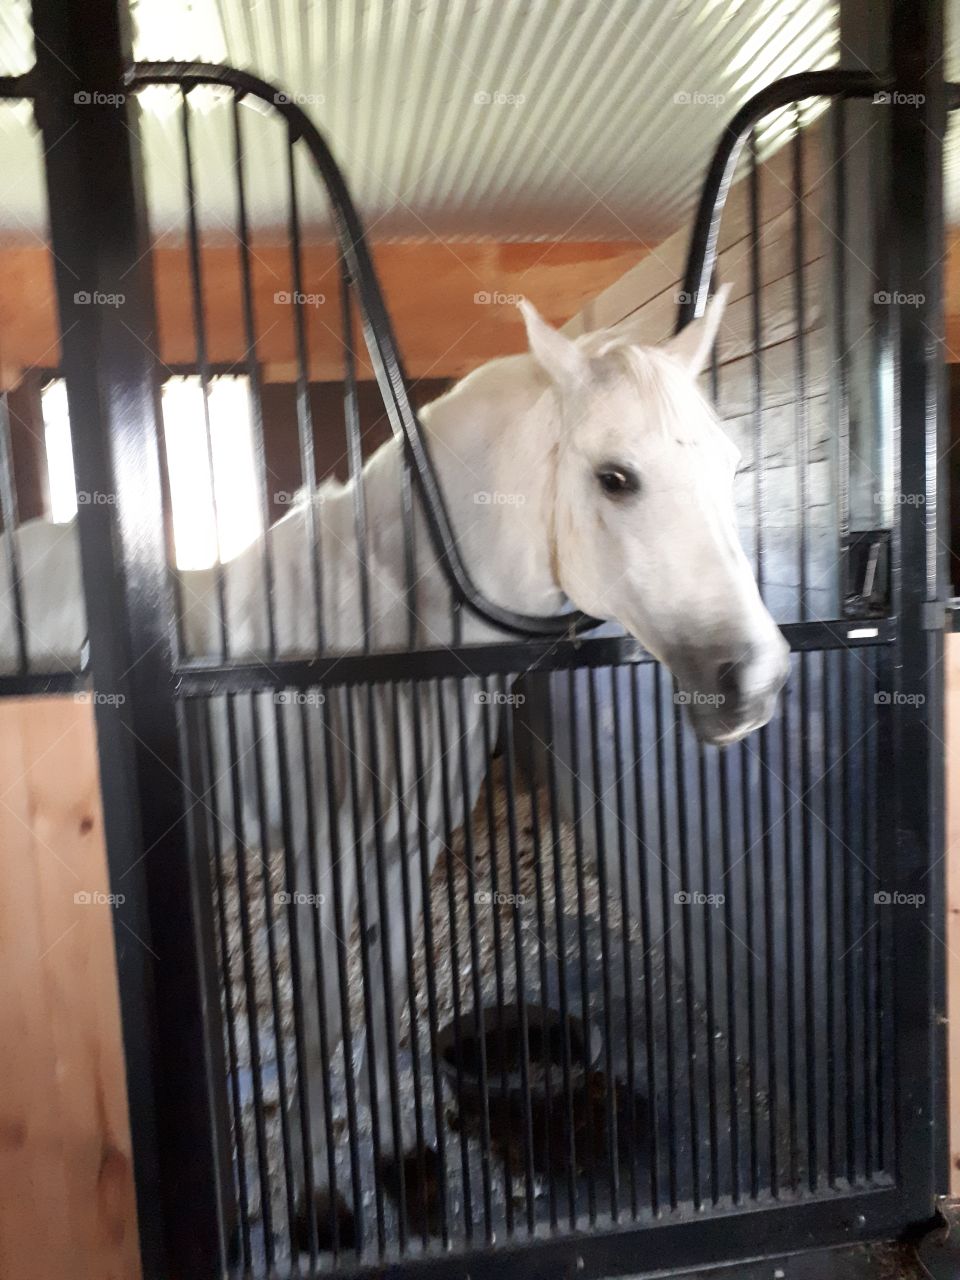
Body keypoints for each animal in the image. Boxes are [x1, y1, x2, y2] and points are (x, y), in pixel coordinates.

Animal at [0, 287, 789, 1243]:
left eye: (731, 465)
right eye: (615, 477)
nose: (753, 680)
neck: (386, 625)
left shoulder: (408, 848)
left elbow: (383, 993)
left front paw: (401, 1152)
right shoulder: (320, 859)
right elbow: (319, 1022)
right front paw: (317, 1201)